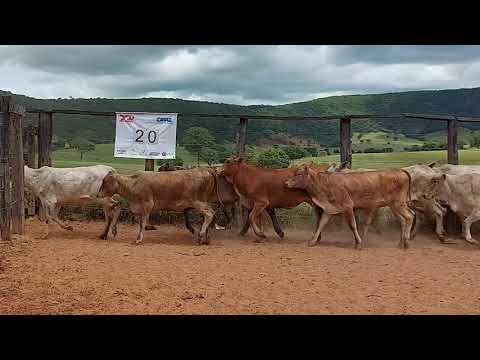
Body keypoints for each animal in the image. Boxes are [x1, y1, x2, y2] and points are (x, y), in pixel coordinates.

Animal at [284, 165, 416, 249]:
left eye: (299, 174)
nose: (286, 183)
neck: (324, 185)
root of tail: (399, 170)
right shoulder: (329, 209)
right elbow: (321, 224)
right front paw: (312, 241)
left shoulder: (348, 206)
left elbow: (352, 225)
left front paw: (358, 243)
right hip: (394, 205)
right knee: (403, 220)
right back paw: (400, 243)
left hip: (398, 203)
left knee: (410, 216)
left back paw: (406, 243)